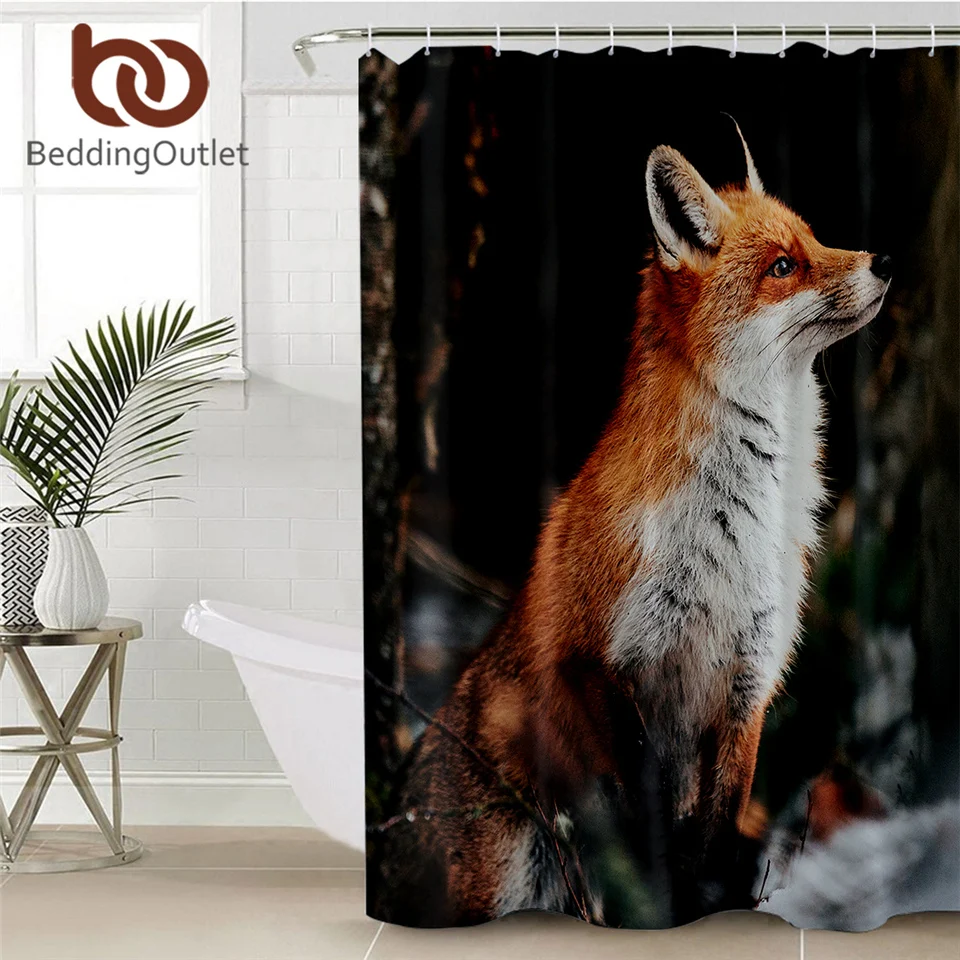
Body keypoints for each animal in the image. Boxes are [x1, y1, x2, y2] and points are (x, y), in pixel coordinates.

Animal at [375, 125, 893, 928]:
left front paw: (703, 908)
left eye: (813, 239)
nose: (884, 261)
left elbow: (711, 838)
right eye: (783, 266)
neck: (732, 527)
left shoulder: (748, 682)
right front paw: (660, 907)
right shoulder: (600, 662)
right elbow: (644, 827)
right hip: (508, 867)